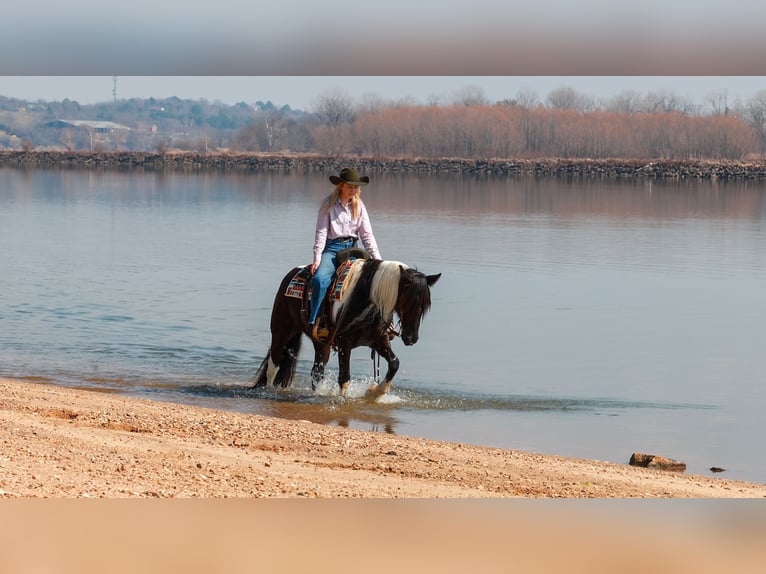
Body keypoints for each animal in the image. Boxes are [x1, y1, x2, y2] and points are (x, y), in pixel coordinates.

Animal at [252, 256, 440, 399]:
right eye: (408, 301)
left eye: (424, 306)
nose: (411, 338)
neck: (367, 299)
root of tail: (290, 275)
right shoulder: (344, 343)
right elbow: (344, 377)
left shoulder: (379, 341)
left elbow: (394, 363)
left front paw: (375, 392)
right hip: (281, 331)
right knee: (274, 365)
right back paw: (269, 390)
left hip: (321, 344)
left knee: (317, 371)